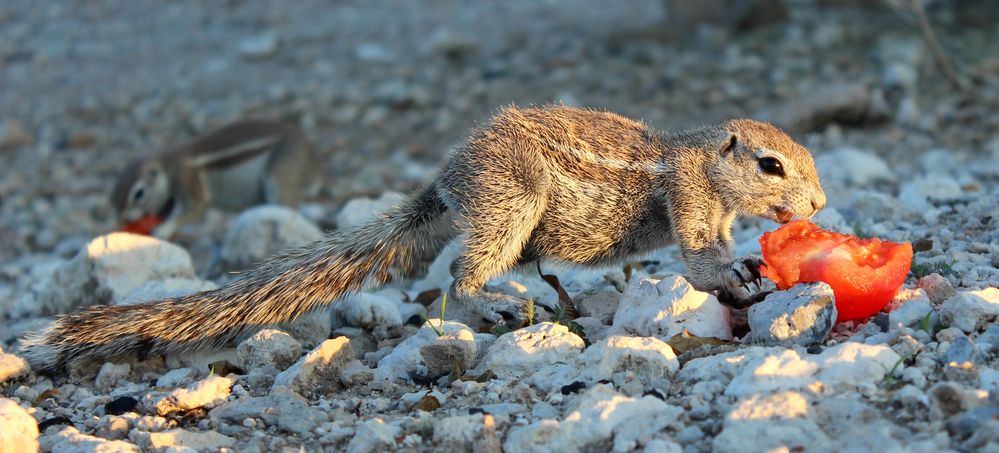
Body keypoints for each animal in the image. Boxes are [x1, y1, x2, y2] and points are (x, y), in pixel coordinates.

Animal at [110, 118, 314, 238]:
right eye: (113, 199)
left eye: (139, 193)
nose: (124, 221)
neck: (167, 166)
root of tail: (305, 142)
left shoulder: (187, 178)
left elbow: (196, 205)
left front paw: (163, 229)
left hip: (278, 176)